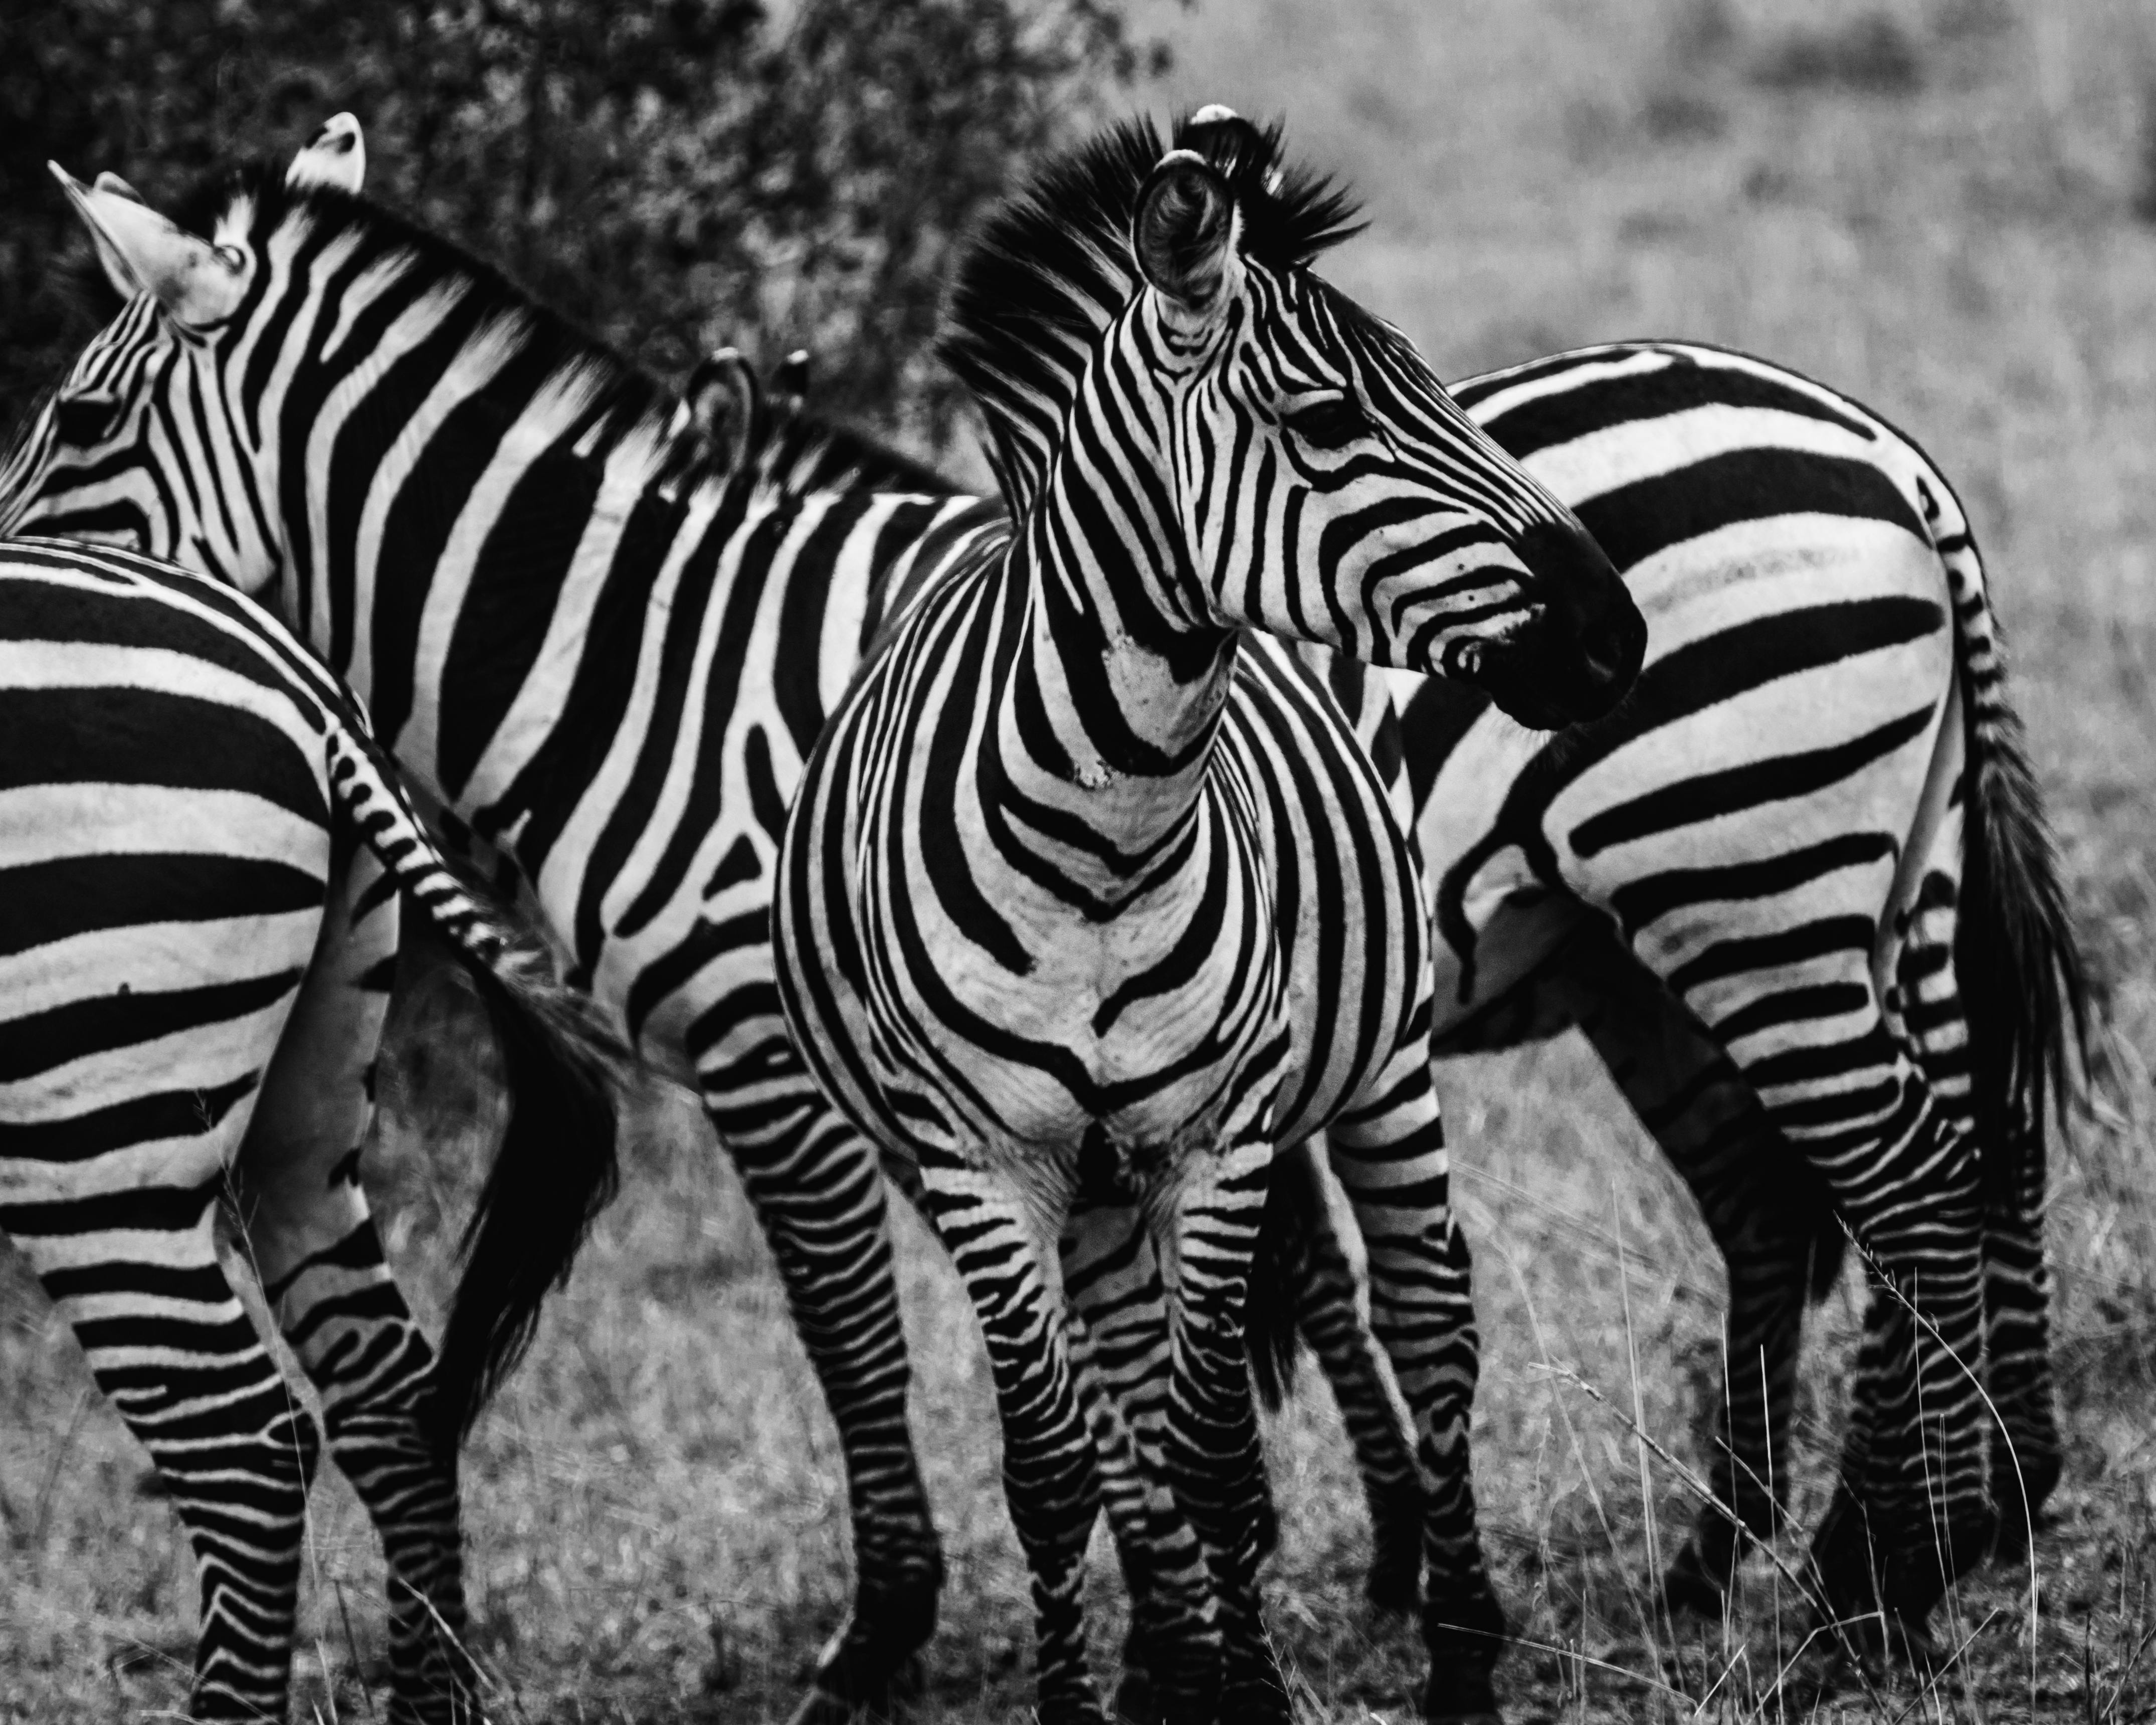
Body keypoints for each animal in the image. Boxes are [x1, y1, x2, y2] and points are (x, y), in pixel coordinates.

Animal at [773, 108, 1644, 1725]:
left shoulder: (1218, 1137)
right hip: (1092, 1188)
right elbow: (1057, 1472)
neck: (1097, 839)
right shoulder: (983, 1167)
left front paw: (1248, 1689)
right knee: (1124, 1388)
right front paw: (1103, 1692)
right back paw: (1170, 1656)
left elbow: (1215, 1451)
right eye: (1326, 421)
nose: (1613, 631)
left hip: (1378, 1066)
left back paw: (1458, 1654)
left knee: (1430, 1327)